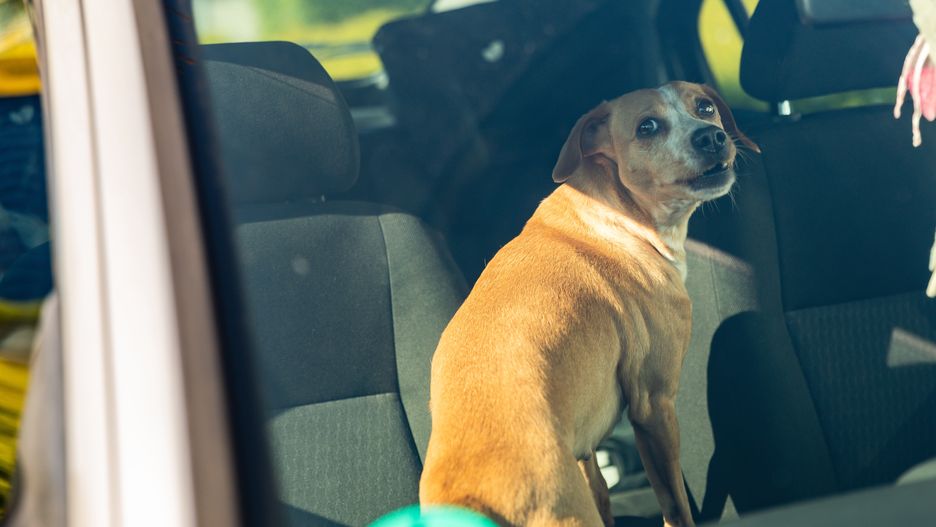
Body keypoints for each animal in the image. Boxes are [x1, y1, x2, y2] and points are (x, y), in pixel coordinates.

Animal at [419, 81, 759, 527]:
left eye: (704, 107)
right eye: (647, 127)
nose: (712, 137)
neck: (617, 214)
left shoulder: (583, 443)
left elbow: (601, 489)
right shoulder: (654, 405)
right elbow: (675, 505)